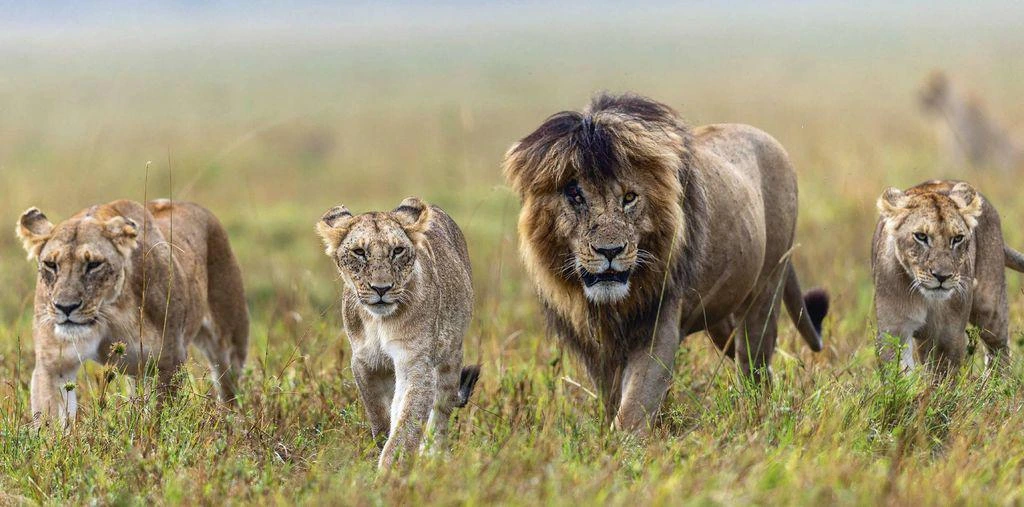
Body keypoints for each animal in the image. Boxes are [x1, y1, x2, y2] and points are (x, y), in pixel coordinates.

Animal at [17, 200, 248, 426]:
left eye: (94, 264)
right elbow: (49, 422)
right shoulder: (53, 365)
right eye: (51, 264)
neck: (109, 312)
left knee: (230, 389)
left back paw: (231, 426)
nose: (66, 307)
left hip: (229, 343)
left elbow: (159, 420)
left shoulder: (169, 361)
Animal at [315, 197, 479, 469]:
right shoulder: (365, 363)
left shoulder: (415, 361)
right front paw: (383, 445)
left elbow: (408, 421)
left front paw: (392, 467)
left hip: (451, 357)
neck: (378, 321)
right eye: (359, 252)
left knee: (441, 413)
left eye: (398, 250)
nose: (381, 288)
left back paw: (434, 456)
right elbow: (380, 415)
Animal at [503, 94, 831, 432]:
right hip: (720, 313)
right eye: (575, 196)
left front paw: (625, 443)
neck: (612, 305)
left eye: (630, 197)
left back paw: (762, 413)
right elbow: (612, 400)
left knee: (754, 365)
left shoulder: (658, 324)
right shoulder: (594, 343)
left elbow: (632, 409)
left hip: (765, 292)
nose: (610, 251)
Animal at [872, 180, 1024, 374]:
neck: (925, 299)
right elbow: (898, 372)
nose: (942, 276)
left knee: (999, 350)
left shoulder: (949, 334)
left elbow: (944, 374)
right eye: (921, 236)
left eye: (957, 238)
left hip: (990, 307)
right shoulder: (893, 330)